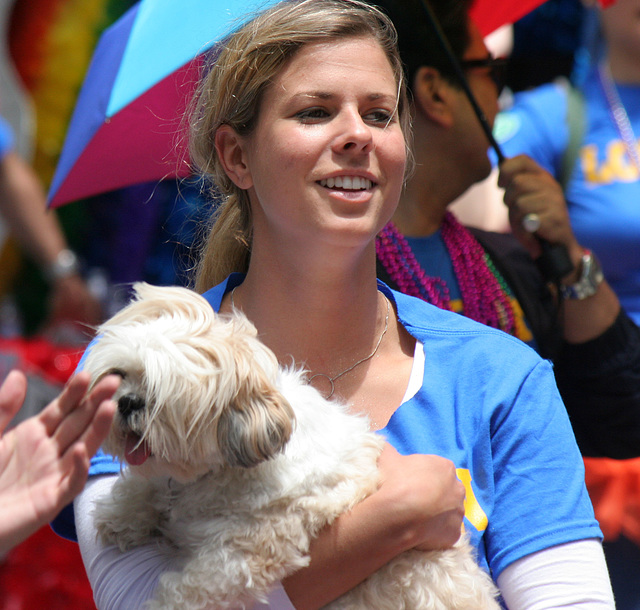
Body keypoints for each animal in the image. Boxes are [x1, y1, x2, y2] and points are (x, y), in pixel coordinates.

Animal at [81, 282, 500, 604]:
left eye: (160, 395)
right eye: (120, 374)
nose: (127, 402)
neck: (220, 469)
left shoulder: (249, 548)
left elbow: (192, 589)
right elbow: (145, 484)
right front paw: (122, 515)